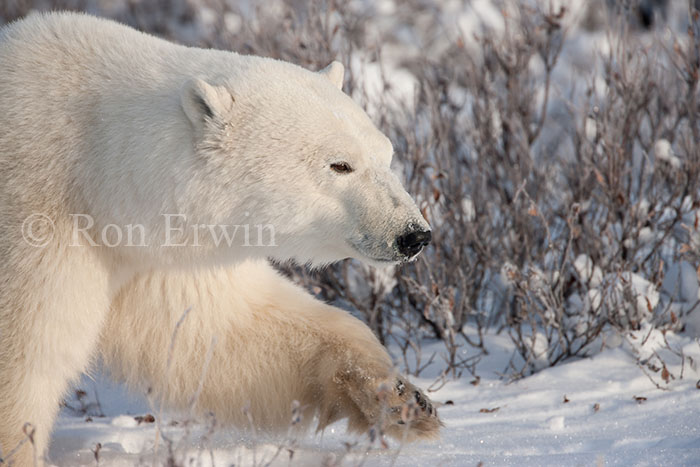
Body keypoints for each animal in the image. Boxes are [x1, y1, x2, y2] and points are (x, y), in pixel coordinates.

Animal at [0, 11, 438, 467]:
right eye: (340, 165)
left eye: (385, 154)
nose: (413, 234)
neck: (94, 166)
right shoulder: (40, 226)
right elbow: (23, 358)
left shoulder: (146, 254)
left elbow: (224, 330)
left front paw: (400, 397)